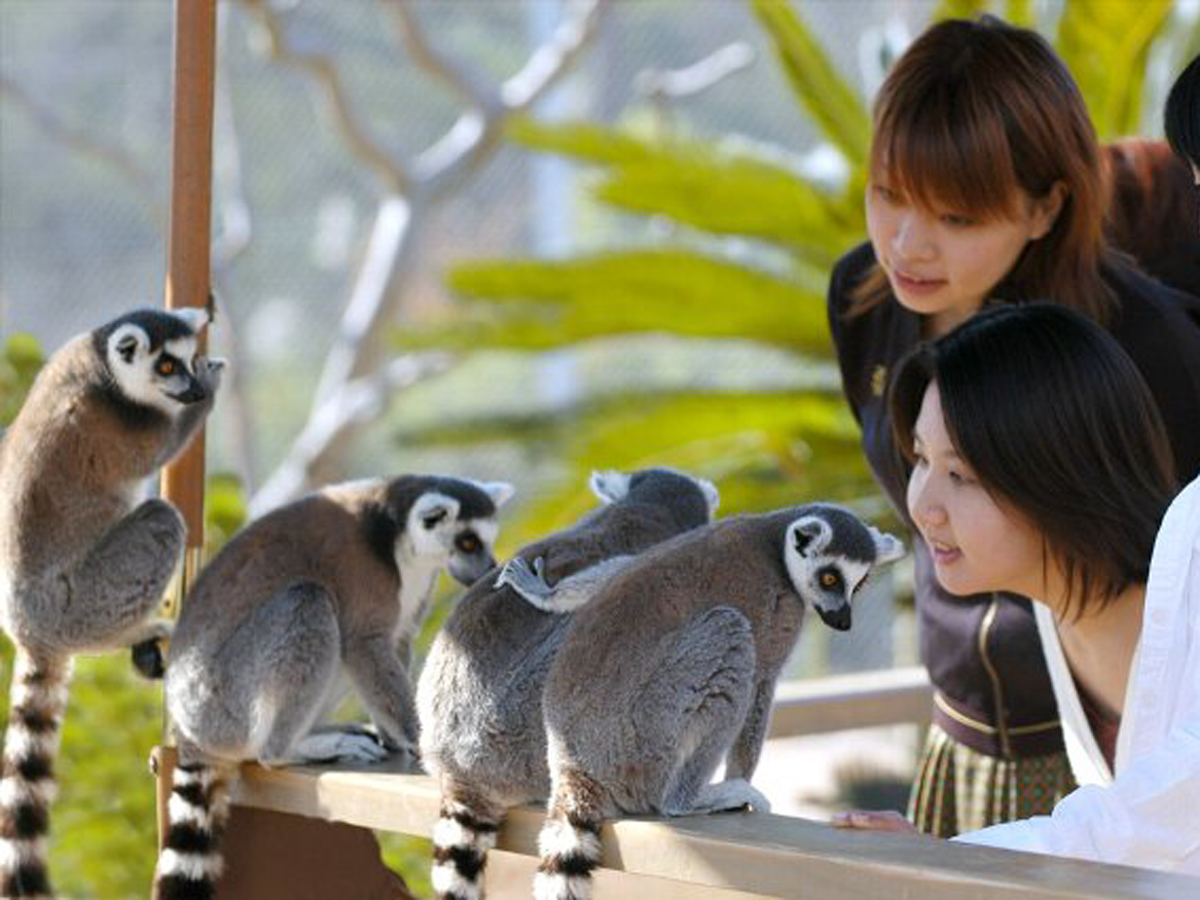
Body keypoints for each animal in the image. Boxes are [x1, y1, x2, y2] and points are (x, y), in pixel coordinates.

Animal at [0, 306, 223, 900]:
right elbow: (163, 448)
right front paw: (213, 387)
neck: (100, 363)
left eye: (182, 358)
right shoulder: (125, 424)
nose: (193, 387)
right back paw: (142, 629)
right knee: (161, 521)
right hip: (85, 599)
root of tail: (29, 629)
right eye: (167, 366)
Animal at [152, 474, 513, 900]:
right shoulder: (363, 573)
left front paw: (394, 737)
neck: (396, 536)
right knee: (311, 603)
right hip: (227, 698)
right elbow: (363, 643)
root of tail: (188, 726)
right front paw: (422, 741)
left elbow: (395, 644)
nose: (488, 569)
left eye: (486, 540)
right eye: (469, 542)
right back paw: (293, 748)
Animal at [515, 504, 904, 900]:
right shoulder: (780, 608)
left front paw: (541, 592)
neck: (771, 538)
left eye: (859, 583)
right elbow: (760, 682)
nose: (843, 621)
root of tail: (572, 762)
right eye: (829, 579)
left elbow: (625, 564)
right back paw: (692, 799)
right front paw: (740, 779)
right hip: (645, 731)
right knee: (729, 634)